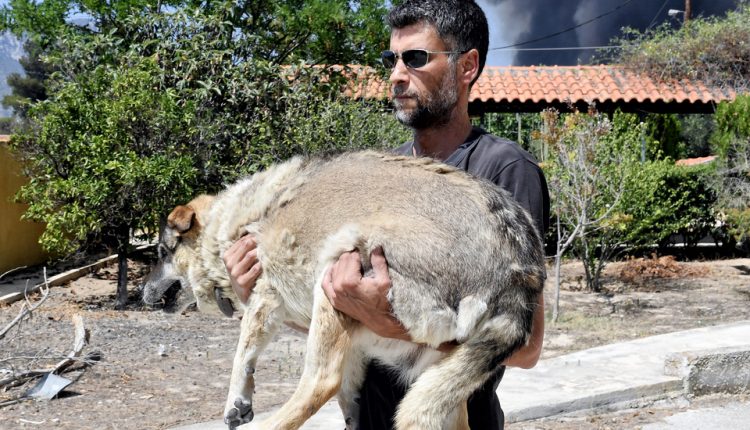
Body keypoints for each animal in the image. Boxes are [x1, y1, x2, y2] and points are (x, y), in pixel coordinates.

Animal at [141, 151, 544, 430]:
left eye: (160, 252)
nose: (141, 292)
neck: (229, 224)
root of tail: (518, 271)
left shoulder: (264, 298)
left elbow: (242, 357)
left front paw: (236, 402)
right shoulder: (356, 344)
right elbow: (349, 395)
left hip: (334, 270)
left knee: (320, 381)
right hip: (435, 372)